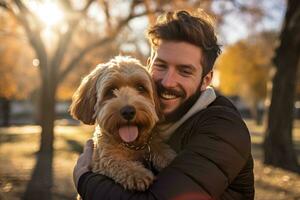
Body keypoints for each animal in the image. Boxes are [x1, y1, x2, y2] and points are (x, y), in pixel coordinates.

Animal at [70, 55, 176, 191]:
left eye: (140, 88)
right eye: (111, 90)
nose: (128, 111)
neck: (131, 145)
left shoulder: (151, 143)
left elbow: (158, 146)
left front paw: (169, 157)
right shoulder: (101, 159)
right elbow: (114, 162)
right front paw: (137, 173)